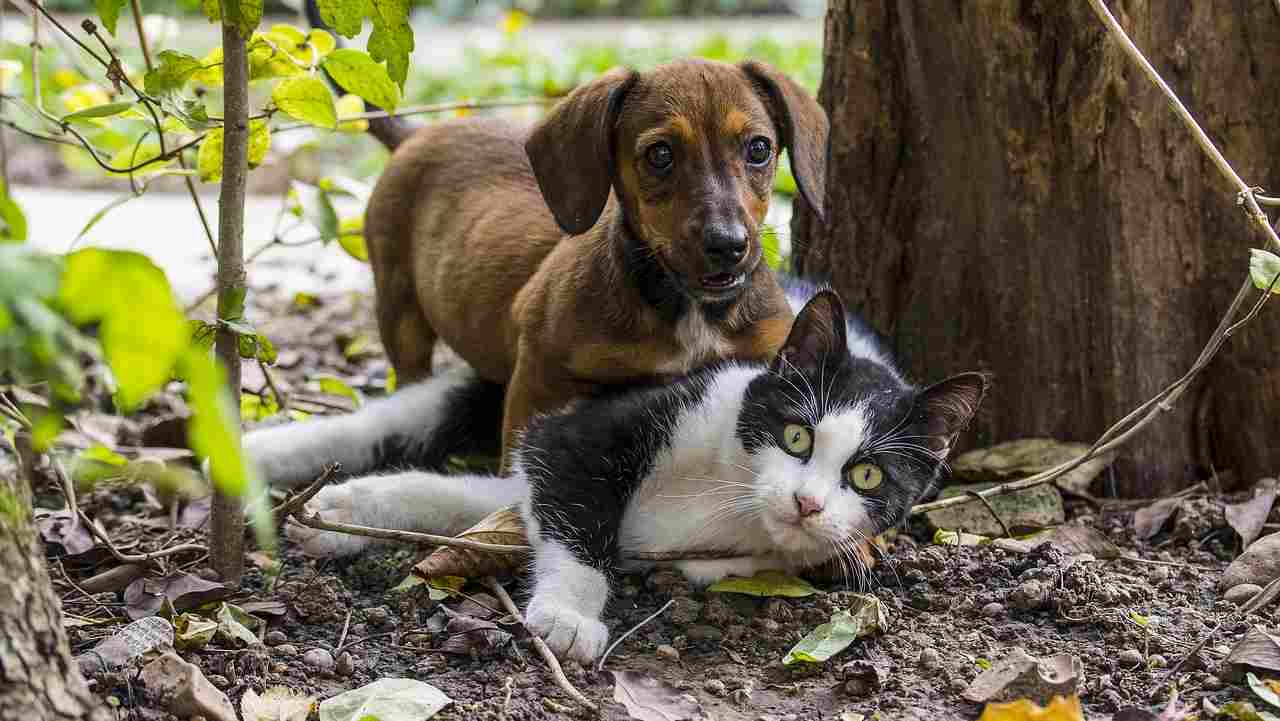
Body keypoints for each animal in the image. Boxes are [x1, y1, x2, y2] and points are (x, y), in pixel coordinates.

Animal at [249, 281, 988, 665]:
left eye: (867, 478)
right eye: (797, 435)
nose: (807, 503)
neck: (731, 492)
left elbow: (493, 499)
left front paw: (349, 511)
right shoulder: (595, 426)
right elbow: (574, 502)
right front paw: (570, 615)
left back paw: (331, 510)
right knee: (400, 416)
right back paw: (262, 458)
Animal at [366, 56, 824, 463]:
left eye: (759, 148)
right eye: (660, 154)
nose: (727, 245)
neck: (687, 309)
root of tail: (414, 135)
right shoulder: (538, 375)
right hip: (399, 309)